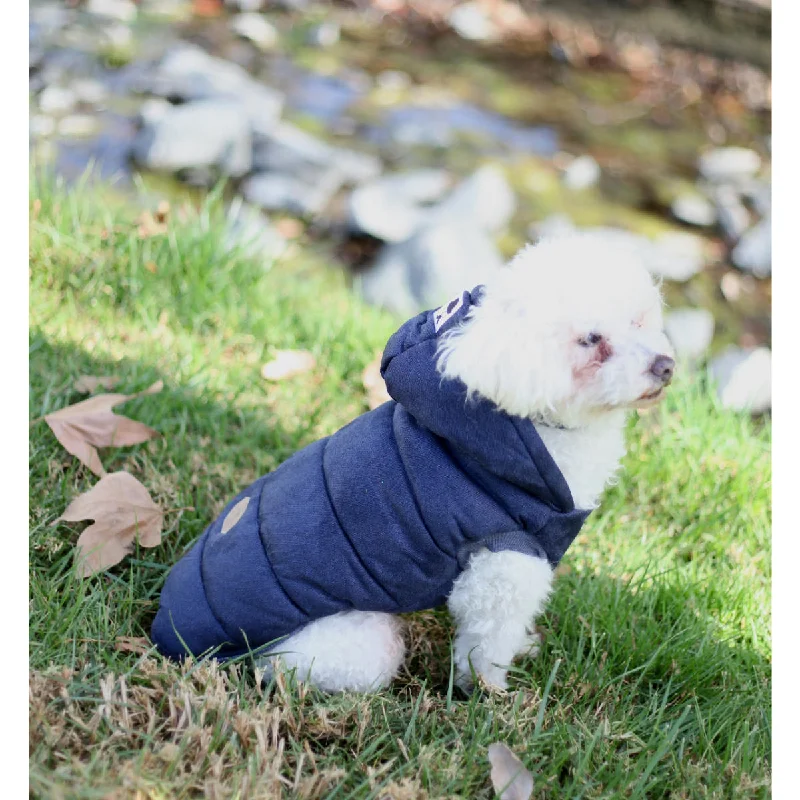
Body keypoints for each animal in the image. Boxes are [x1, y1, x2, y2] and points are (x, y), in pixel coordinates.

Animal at [255, 233, 676, 692]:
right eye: (591, 339)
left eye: (638, 320)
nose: (665, 366)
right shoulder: (506, 565)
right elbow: (487, 642)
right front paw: (489, 690)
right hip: (351, 646)